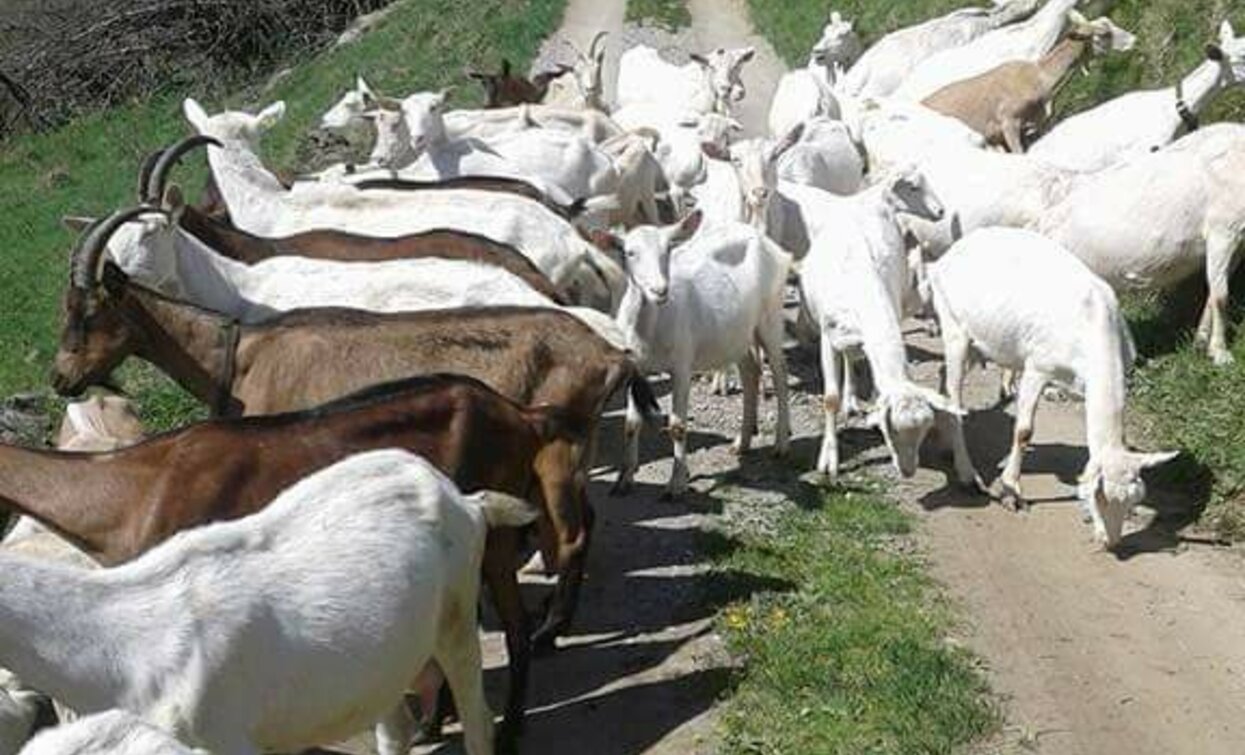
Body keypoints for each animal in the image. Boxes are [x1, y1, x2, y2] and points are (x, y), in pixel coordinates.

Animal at [597, 214, 791, 498]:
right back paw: (742, 442)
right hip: (736, 332)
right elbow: (631, 423)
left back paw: (781, 444)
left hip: (771, 315)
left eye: (668, 249)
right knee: (750, 371)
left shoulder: (682, 364)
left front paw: (676, 484)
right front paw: (624, 479)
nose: (660, 290)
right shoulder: (636, 368)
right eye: (629, 252)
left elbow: (678, 426)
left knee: (780, 373)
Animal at [936, 227, 1175, 548]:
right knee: (955, 399)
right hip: (954, 330)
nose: (1110, 542)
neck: (1093, 324)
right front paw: (1011, 492)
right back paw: (966, 475)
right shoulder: (1037, 367)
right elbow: (1024, 431)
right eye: (1099, 497)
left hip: (979, 345)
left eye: (1134, 500)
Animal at [1035, 122, 1245, 366]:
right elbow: (1221, 295)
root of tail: (1042, 226)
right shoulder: (1223, 230)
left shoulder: (1237, 242)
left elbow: (1213, 292)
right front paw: (1221, 353)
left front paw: (1201, 342)